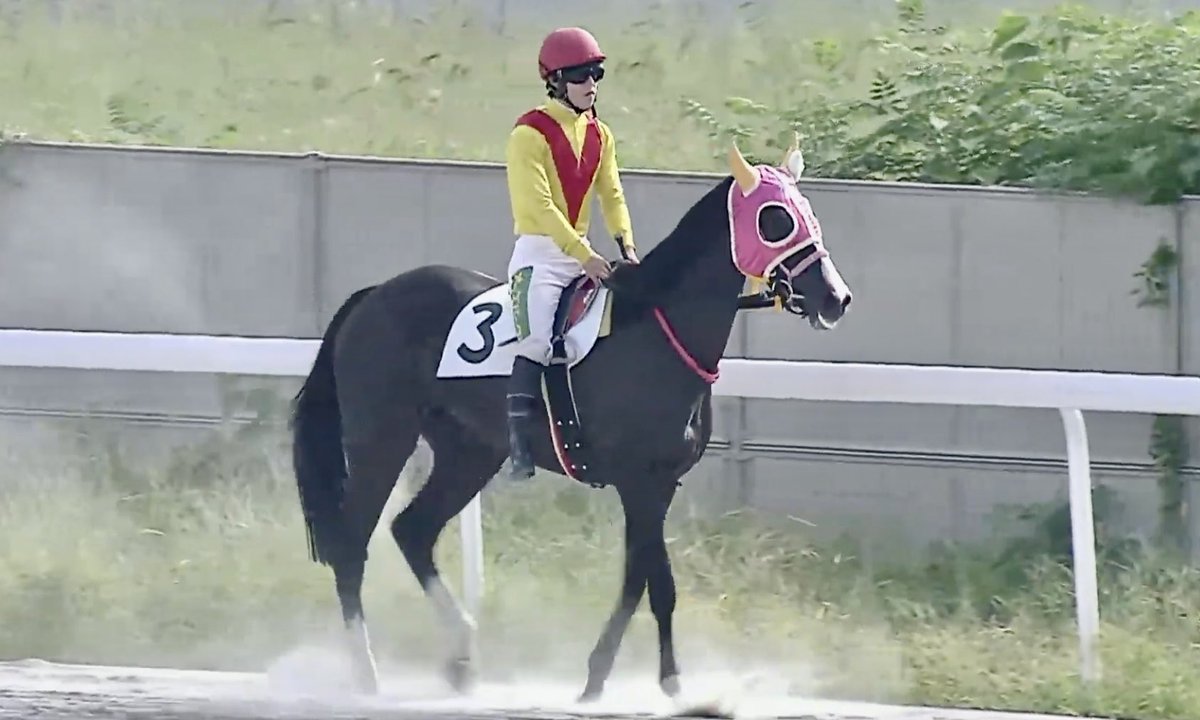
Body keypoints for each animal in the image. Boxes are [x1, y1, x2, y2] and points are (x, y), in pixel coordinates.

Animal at [289, 139, 854, 702]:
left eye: (808, 213)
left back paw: (461, 657)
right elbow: (657, 582)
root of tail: (374, 295)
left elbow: (638, 580)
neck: (654, 328)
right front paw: (664, 680)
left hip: (469, 452)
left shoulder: (661, 483)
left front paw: (607, 676)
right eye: (775, 219)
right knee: (352, 543)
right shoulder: (638, 480)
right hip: (381, 439)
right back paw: (366, 672)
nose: (836, 298)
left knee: (412, 530)